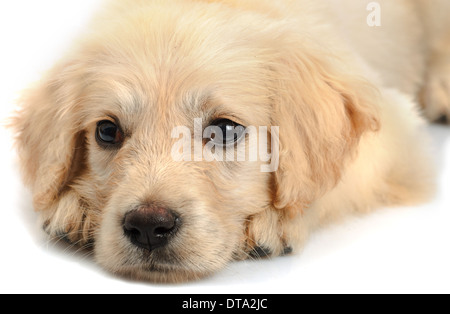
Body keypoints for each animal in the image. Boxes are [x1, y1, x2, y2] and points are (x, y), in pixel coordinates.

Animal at [12, 0, 448, 284]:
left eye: (223, 130)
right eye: (107, 131)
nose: (149, 227)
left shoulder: (396, 132)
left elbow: (333, 182)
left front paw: (279, 221)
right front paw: (76, 209)